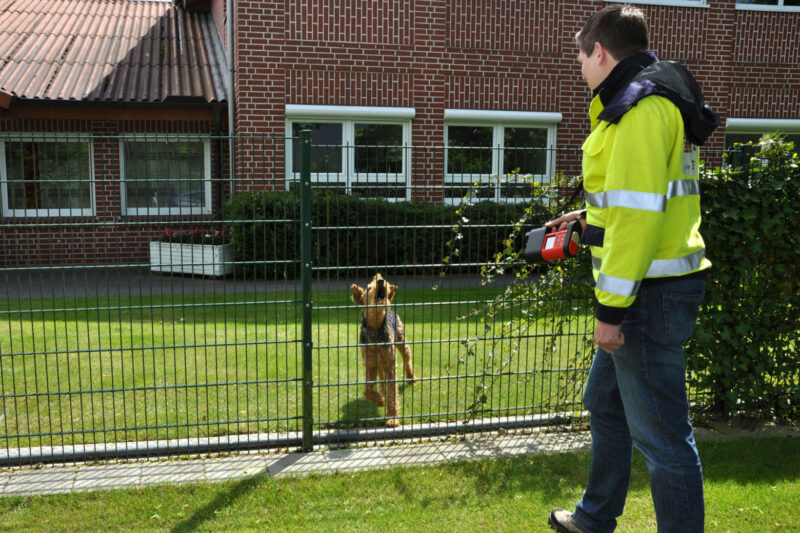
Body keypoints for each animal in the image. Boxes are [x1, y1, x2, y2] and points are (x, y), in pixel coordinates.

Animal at [352, 272, 418, 426]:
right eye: (368, 288)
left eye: (382, 282)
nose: (381, 281)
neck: (375, 330)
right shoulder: (370, 364)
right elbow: (368, 390)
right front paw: (380, 401)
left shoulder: (390, 365)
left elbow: (393, 394)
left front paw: (392, 418)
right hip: (380, 363)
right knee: (382, 380)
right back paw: (382, 393)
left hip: (402, 343)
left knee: (407, 361)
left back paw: (411, 379)